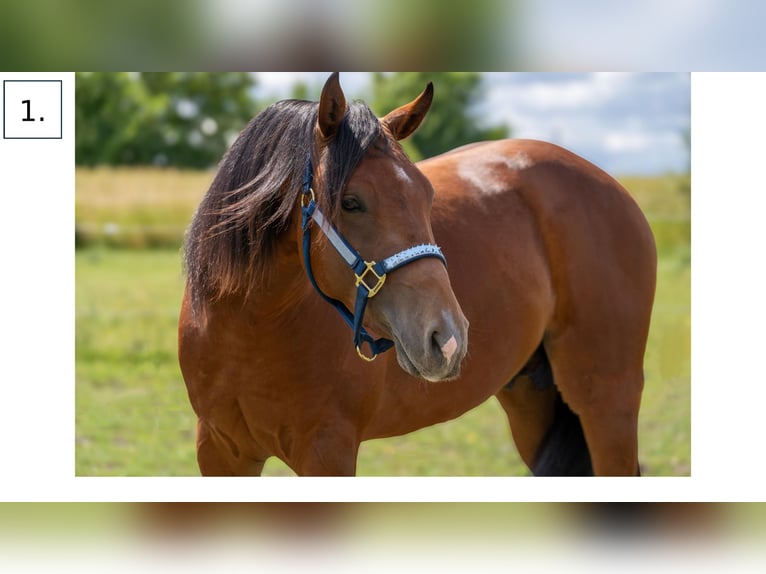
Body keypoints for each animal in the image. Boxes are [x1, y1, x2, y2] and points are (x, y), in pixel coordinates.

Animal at [179, 73, 656, 476]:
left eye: (427, 195)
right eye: (351, 202)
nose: (446, 337)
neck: (249, 329)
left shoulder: (328, 452)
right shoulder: (219, 452)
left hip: (608, 401)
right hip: (531, 400)